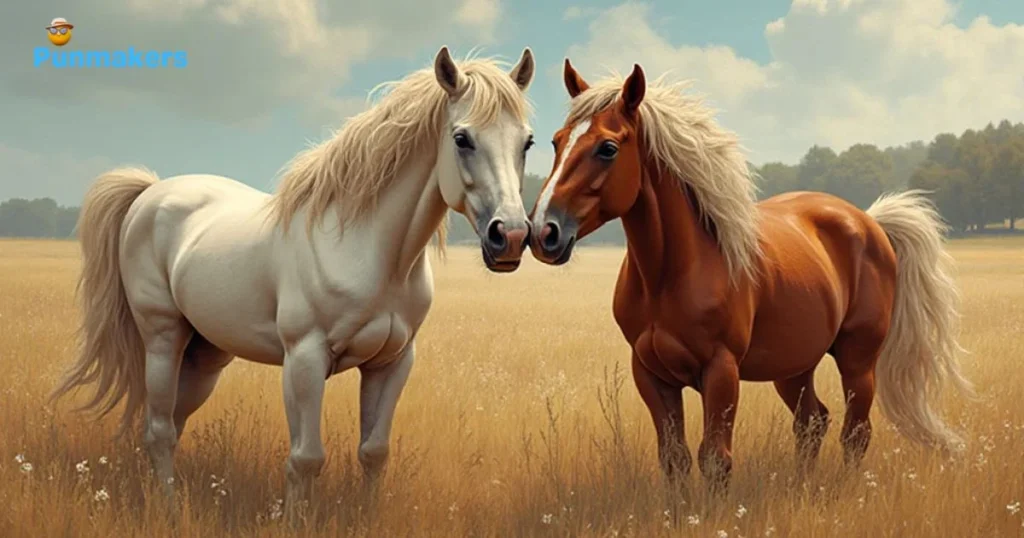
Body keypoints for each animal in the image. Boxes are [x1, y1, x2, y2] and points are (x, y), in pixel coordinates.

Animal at [50, 46, 538, 516]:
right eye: (462, 138)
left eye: (527, 142)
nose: (511, 236)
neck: (367, 249)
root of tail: (150, 193)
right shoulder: (304, 360)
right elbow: (306, 458)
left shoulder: (393, 362)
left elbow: (374, 452)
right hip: (162, 339)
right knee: (159, 431)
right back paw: (168, 509)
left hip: (205, 355)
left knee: (171, 421)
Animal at [528, 59, 973, 488]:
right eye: (556, 141)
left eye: (607, 148)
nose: (543, 232)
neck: (670, 274)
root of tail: (869, 221)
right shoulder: (651, 373)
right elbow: (674, 459)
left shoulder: (721, 371)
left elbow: (714, 459)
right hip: (794, 365)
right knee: (812, 422)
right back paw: (801, 488)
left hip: (857, 359)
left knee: (855, 432)